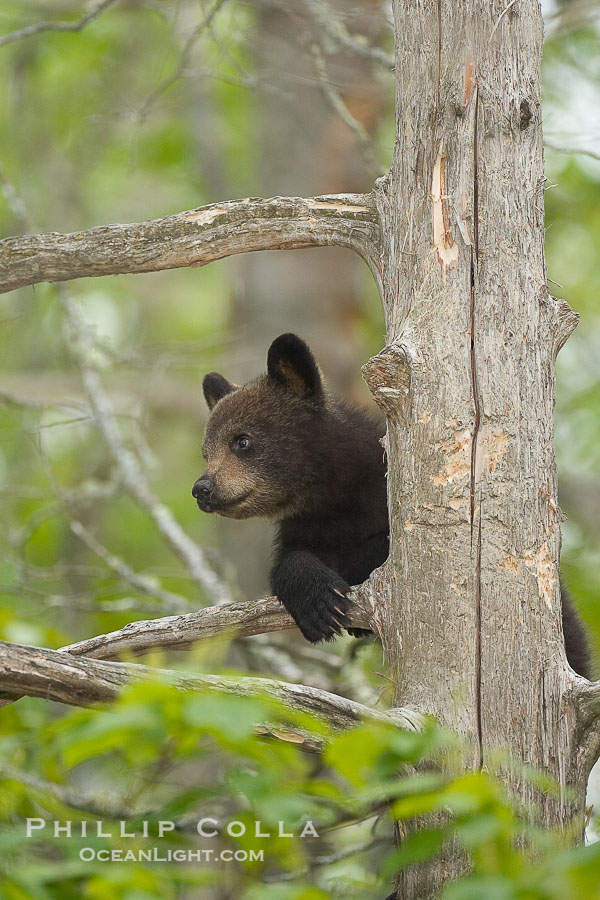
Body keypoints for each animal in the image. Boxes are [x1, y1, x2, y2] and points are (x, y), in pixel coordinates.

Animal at [192, 333, 590, 678]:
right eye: (207, 451)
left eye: (242, 441)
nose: (202, 488)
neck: (331, 494)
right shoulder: (305, 525)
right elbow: (288, 563)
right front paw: (318, 602)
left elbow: (395, 548)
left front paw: (353, 571)